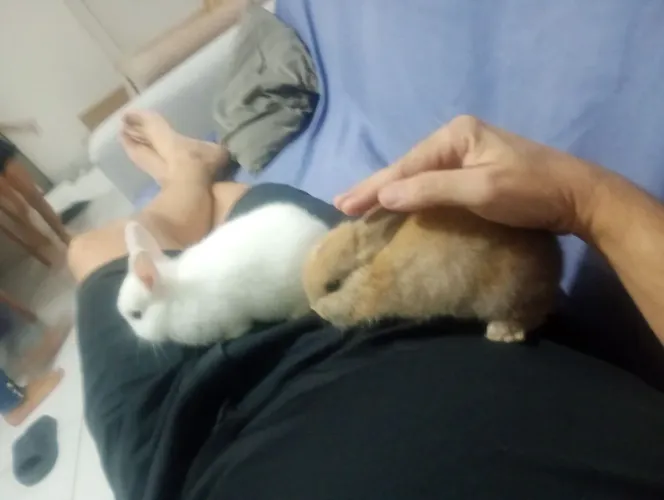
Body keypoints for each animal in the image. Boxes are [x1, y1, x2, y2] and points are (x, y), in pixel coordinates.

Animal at [117, 202, 330, 345]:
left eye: (136, 315)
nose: (137, 335)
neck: (174, 300)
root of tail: (321, 233)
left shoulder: (229, 316)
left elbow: (239, 327)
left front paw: (231, 337)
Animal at [302, 206, 562, 342]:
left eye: (333, 285)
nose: (316, 311)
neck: (372, 272)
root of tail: (555, 267)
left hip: (508, 296)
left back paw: (500, 333)